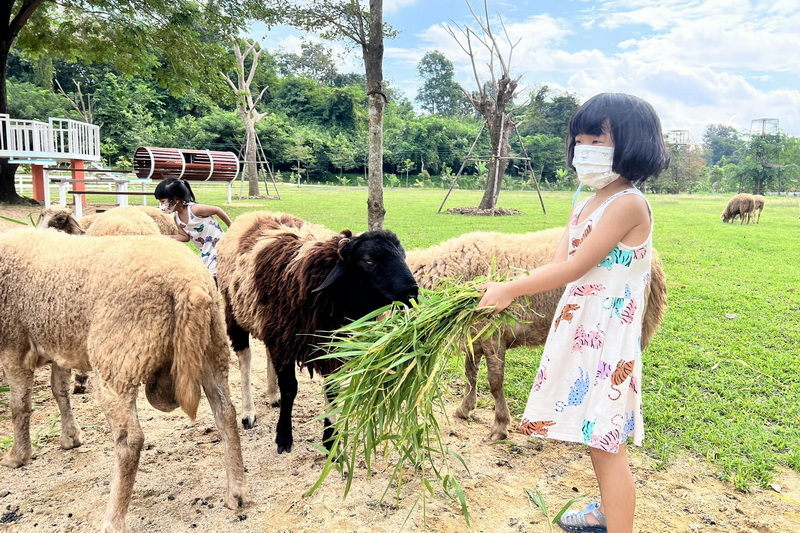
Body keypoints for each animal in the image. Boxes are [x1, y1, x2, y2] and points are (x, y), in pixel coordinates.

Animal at [0, 229, 245, 532]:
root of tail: (189, 284)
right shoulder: (59, 344)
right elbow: (60, 391)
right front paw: (71, 437)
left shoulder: (14, 345)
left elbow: (19, 407)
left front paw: (17, 456)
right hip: (212, 345)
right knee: (225, 412)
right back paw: (236, 491)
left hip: (117, 360)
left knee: (130, 441)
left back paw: (113, 519)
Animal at [217, 210, 418, 450]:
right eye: (368, 260)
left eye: (403, 256)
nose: (412, 293)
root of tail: (252, 214)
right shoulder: (286, 343)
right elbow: (290, 388)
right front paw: (283, 436)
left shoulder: (331, 346)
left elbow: (332, 390)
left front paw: (330, 439)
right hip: (235, 313)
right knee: (245, 359)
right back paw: (248, 413)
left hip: (269, 325)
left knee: (266, 352)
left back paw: (272, 396)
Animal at [400, 229, 668, 440]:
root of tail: (653, 259)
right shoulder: (475, 336)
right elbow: (470, 374)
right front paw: (464, 409)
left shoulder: (494, 334)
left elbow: (495, 383)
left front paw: (500, 426)